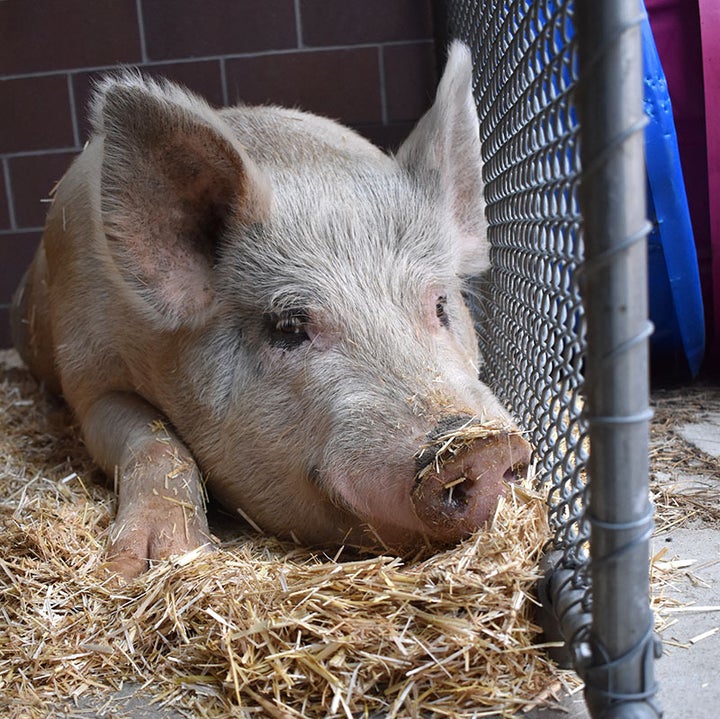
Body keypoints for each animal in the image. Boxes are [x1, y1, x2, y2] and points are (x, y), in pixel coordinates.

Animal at [10, 42, 531, 579]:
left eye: (441, 304)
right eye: (288, 325)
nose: (481, 446)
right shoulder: (86, 373)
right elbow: (153, 438)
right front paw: (148, 565)